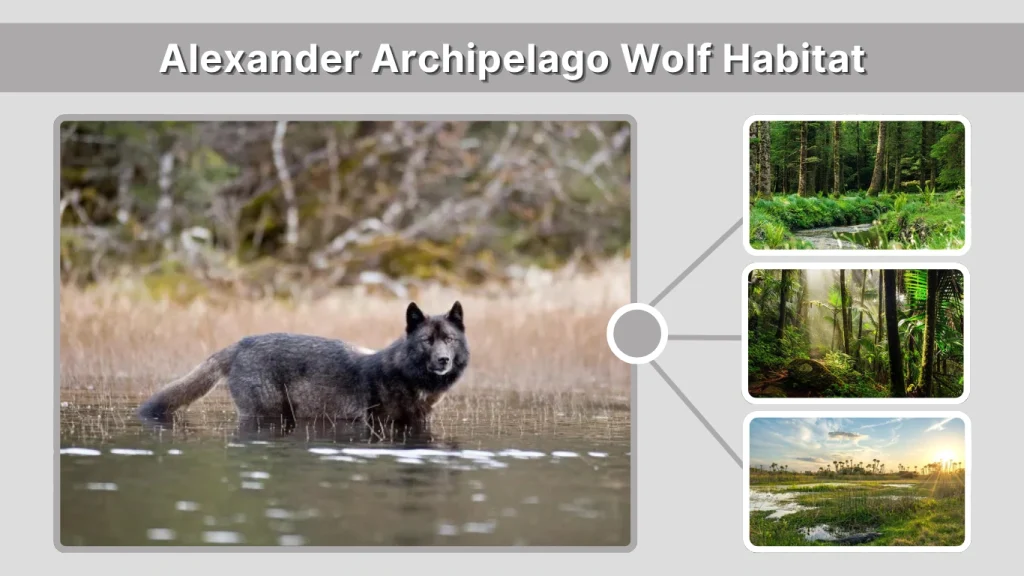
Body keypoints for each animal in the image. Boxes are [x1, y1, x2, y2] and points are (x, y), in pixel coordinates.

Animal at [136, 301, 469, 432]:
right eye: (427, 340)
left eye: (449, 339)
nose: (443, 360)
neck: (404, 373)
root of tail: (241, 343)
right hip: (268, 414)